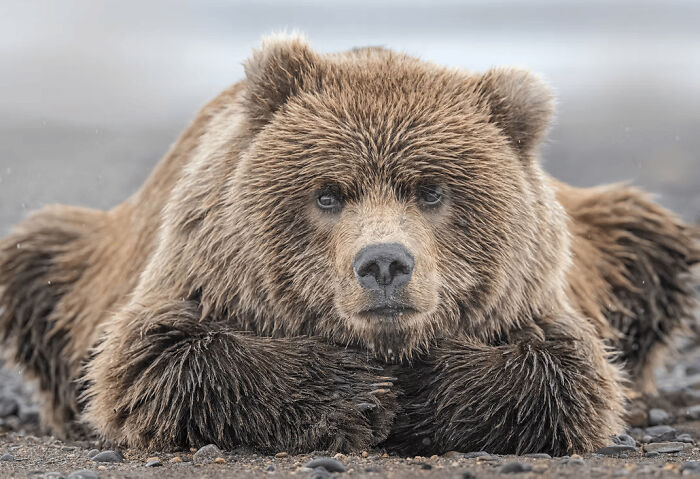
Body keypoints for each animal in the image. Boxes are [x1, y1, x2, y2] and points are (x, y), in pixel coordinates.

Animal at [0, 34, 698, 456]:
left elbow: (564, 372)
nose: (384, 262)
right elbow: (153, 358)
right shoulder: (200, 269)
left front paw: (418, 392)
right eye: (329, 194)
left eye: (431, 190)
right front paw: (358, 394)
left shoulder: (532, 290)